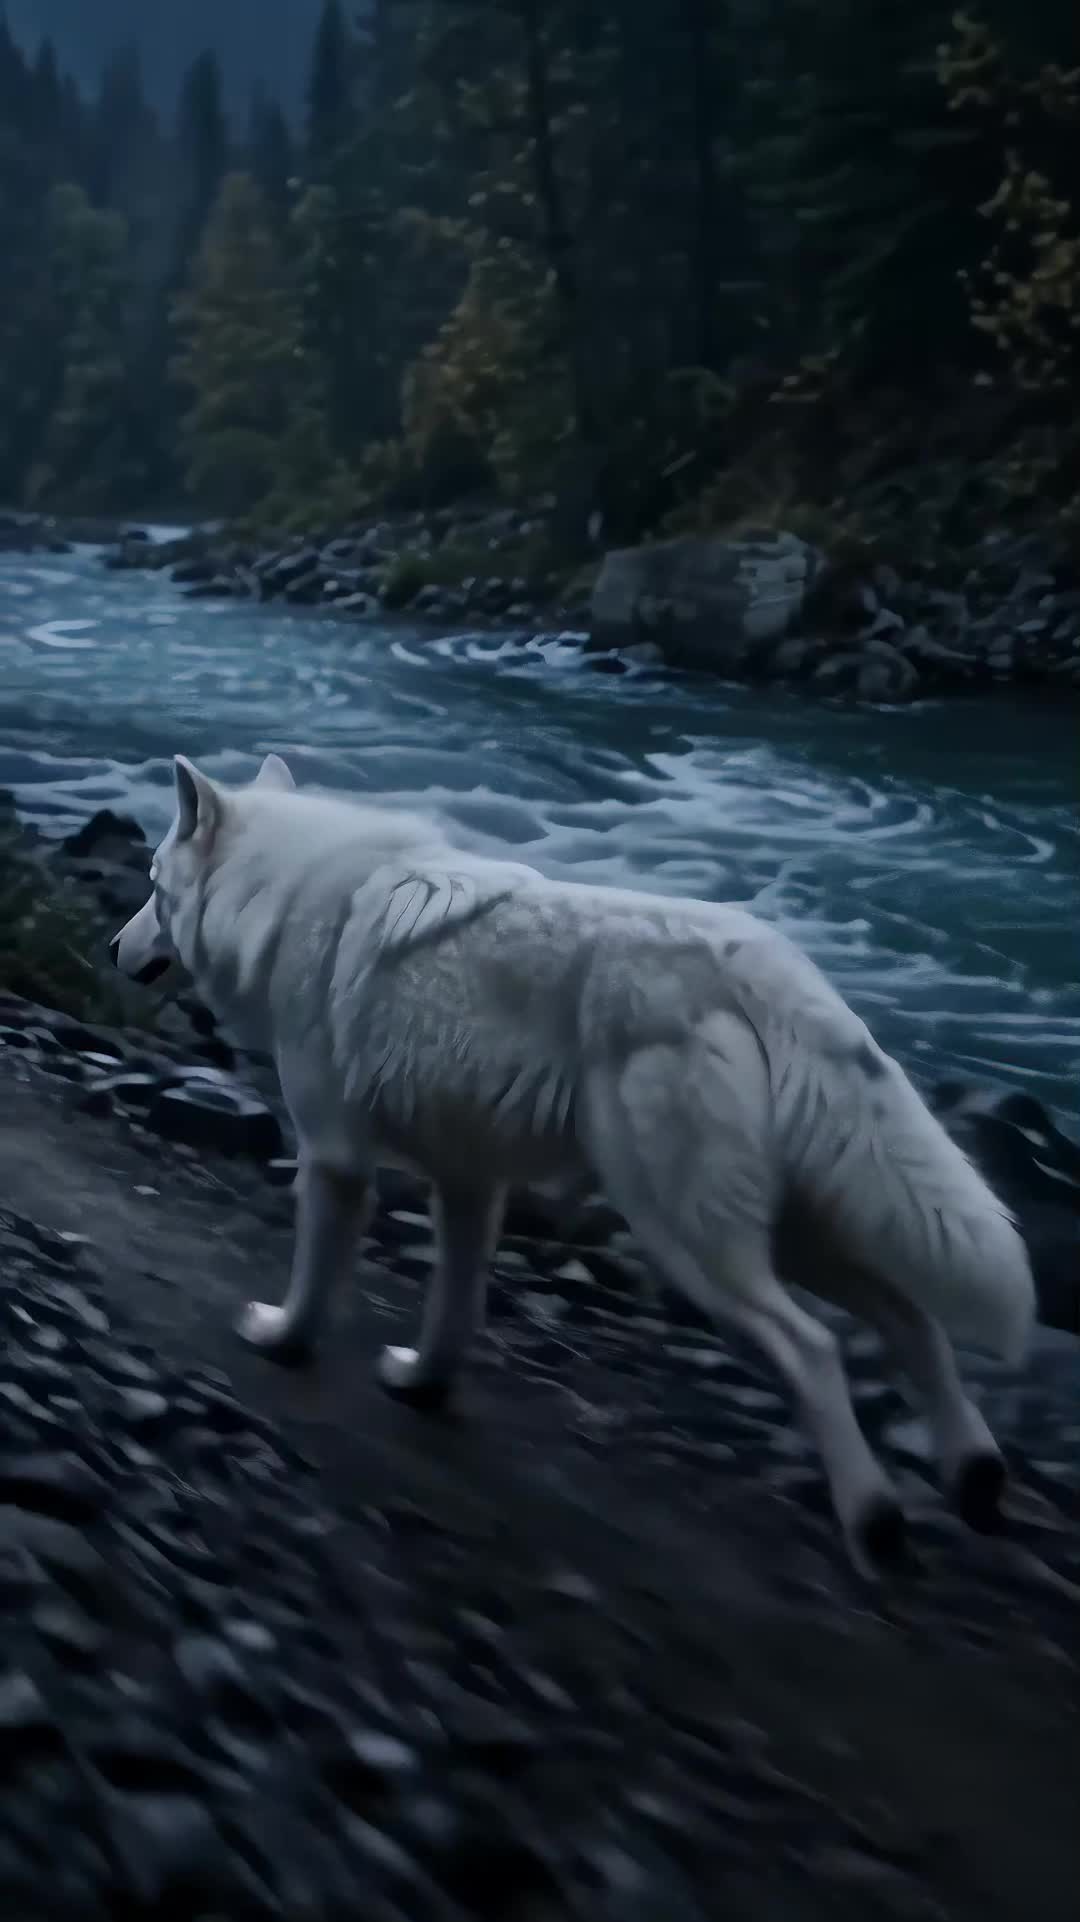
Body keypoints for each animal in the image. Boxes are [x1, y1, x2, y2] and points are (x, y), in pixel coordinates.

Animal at [111, 753, 1035, 1570]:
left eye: (152, 884)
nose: (115, 949)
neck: (278, 891)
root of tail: (760, 959)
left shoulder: (336, 1158)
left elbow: (314, 1284)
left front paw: (280, 1339)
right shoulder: (469, 1183)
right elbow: (452, 1312)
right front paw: (421, 1387)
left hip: (691, 1240)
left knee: (814, 1347)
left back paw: (876, 1519)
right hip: (789, 1233)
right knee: (909, 1318)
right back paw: (974, 1473)